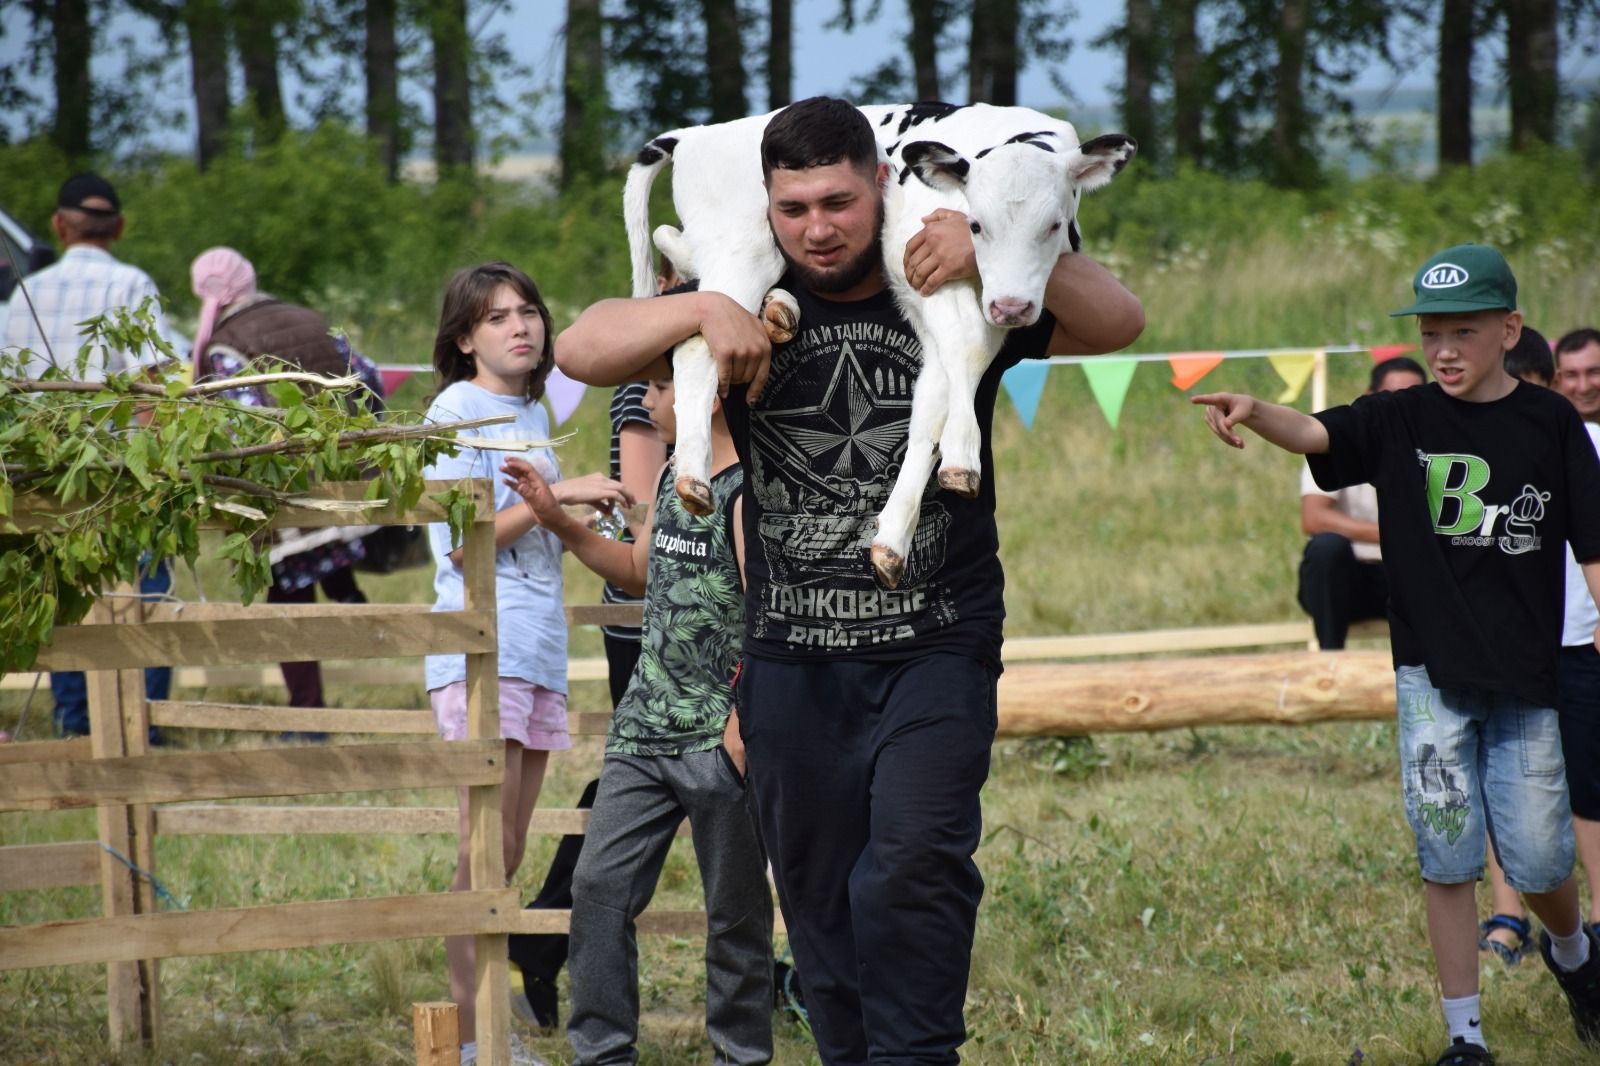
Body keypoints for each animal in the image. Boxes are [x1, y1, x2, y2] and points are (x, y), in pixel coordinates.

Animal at [617, 104, 1132, 585]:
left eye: (1054, 225)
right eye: (976, 225)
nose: (1012, 307)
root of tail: (696, 135)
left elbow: (930, 406)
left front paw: (894, 536)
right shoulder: (930, 274)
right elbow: (965, 352)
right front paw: (962, 454)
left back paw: (777, 311)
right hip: (743, 253)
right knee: (698, 342)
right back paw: (692, 474)